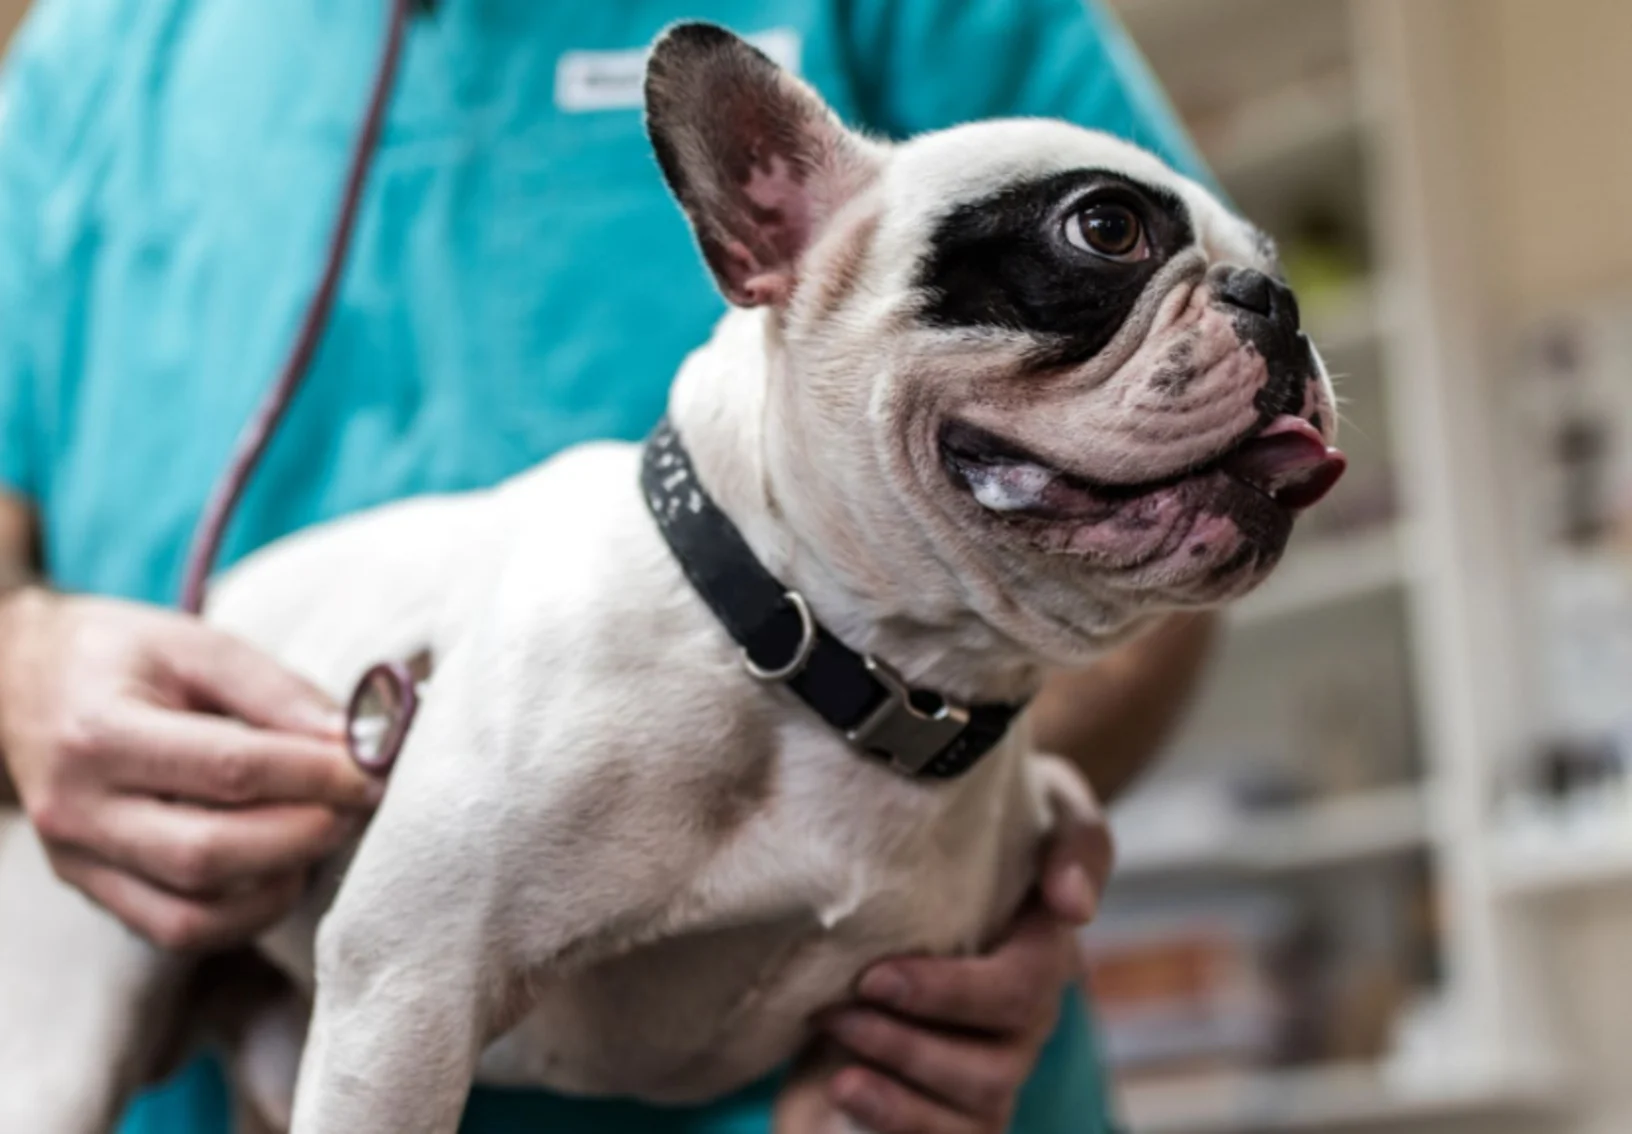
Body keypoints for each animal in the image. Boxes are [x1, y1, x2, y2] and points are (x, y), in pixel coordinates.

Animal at [0, 19, 1338, 1134]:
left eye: (1269, 256)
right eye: (1105, 229)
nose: (1280, 299)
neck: (830, 655)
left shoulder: (880, 1048)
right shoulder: (408, 997)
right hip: (75, 1037)